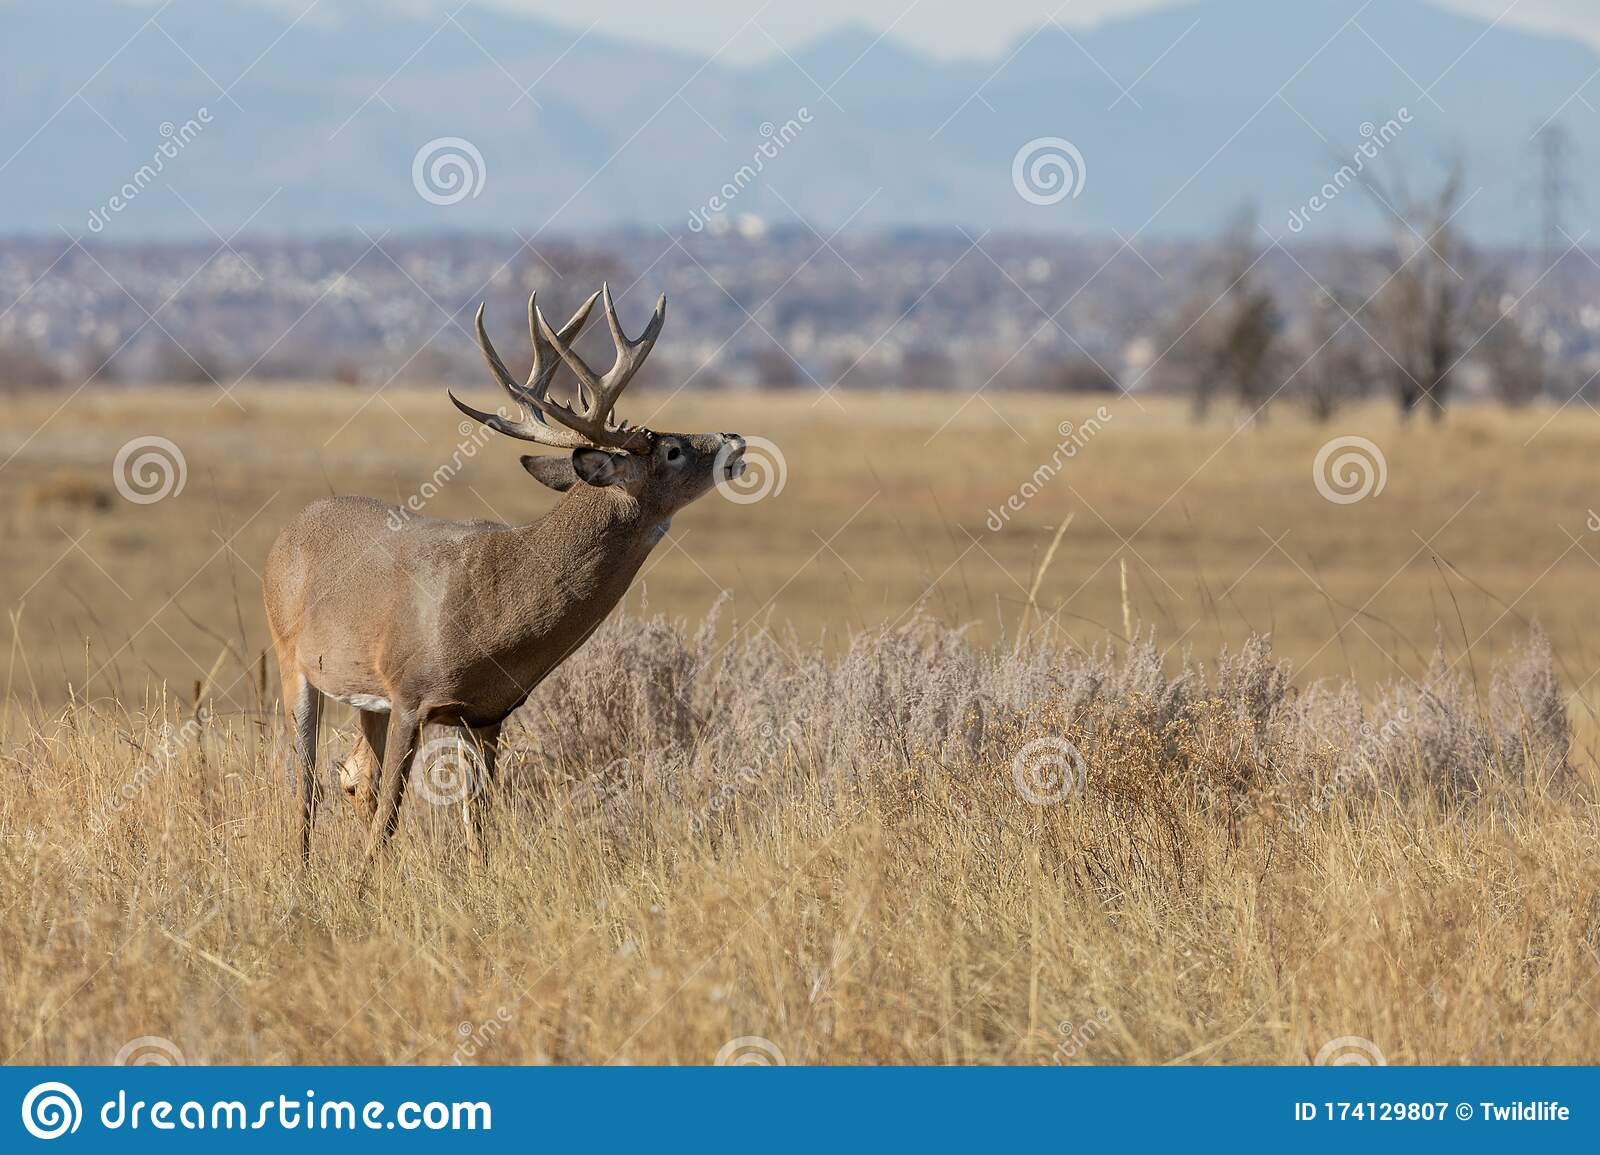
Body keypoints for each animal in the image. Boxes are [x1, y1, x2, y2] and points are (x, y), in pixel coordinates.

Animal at [265, 286, 745, 870]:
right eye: (672, 451)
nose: (734, 438)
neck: (497, 606)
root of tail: (289, 530)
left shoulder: (487, 714)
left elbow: (480, 828)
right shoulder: (409, 694)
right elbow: (390, 822)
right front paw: (362, 886)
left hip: (365, 697)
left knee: (355, 775)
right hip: (293, 660)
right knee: (306, 780)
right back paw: (302, 870)